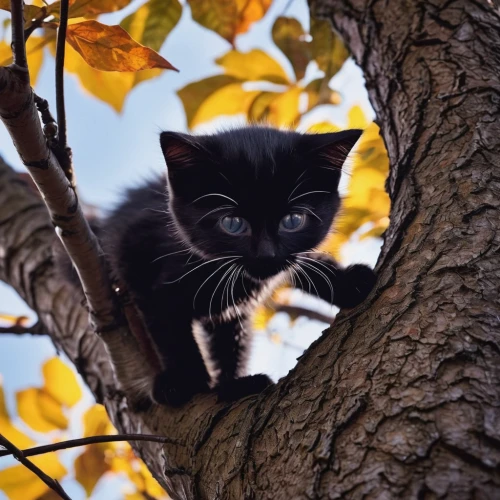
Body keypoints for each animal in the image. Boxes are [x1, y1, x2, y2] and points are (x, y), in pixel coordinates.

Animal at [61, 125, 376, 406]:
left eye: (292, 220)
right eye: (232, 224)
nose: (266, 256)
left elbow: (301, 264)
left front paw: (347, 281)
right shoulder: (137, 252)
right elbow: (168, 328)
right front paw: (185, 380)